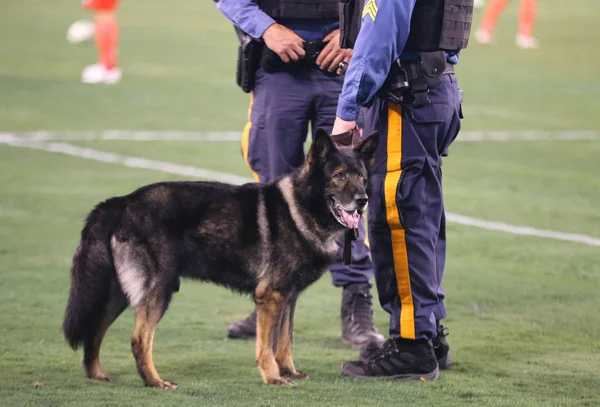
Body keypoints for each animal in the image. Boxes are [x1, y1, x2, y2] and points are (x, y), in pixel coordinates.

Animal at [63, 130, 378, 388]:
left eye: (361, 176)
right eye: (339, 175)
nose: (362, 200)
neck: (301, 206)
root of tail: (124, 201)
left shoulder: (289, 297)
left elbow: (285, 340)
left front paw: (288, 371)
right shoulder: (273, 296)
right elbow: (267, 345)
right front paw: (273, 377)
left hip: (119, 294)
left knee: (95, 330)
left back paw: (97, 375)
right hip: (159, 291)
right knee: (139, 340)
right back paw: (154, 381)